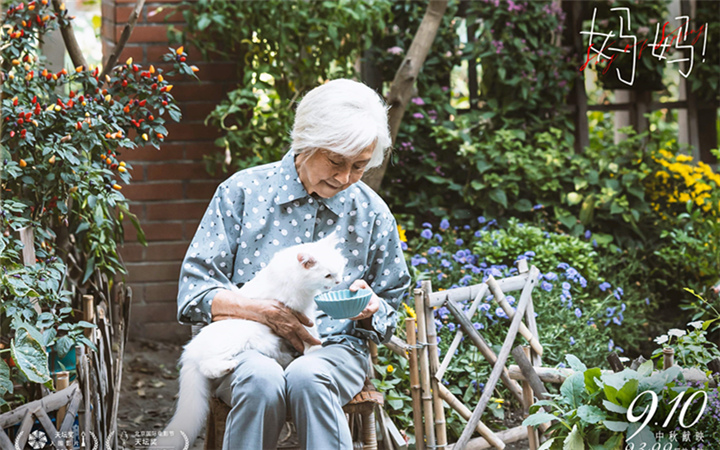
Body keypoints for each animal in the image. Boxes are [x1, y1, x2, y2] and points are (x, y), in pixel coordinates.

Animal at [161, 234, 346, 448]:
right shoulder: (299, 312)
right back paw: (227, 366)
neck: (294, 277)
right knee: (207, 366)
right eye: (328, 275)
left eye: (340, 269)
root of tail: (189, 351)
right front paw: (315, 347)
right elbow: (310, 331)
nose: (339, 280)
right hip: (236, 340)